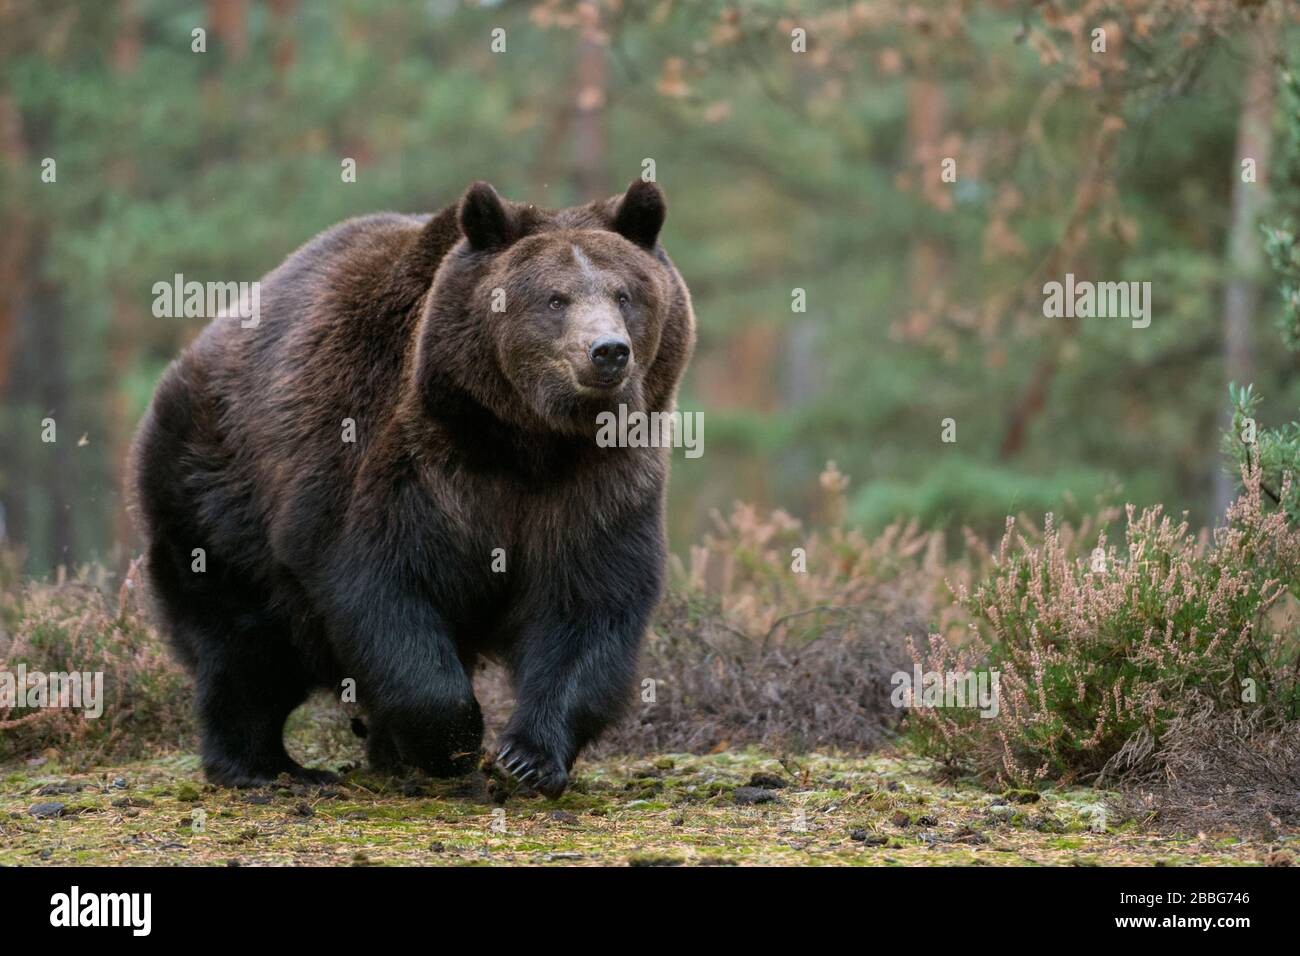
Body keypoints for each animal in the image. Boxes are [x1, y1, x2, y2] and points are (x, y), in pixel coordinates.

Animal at [130, 180, 696, 801]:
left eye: (625, 294)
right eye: (554, 299)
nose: (608, 351)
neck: (524, 439)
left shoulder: (599, 483)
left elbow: (589, 602)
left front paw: (526, 758)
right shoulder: (397, 462)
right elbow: (381, 586)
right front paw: (452, 743)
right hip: (213, 491)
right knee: (242, 643)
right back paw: (265, 766)